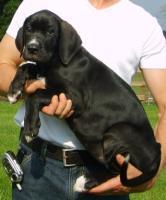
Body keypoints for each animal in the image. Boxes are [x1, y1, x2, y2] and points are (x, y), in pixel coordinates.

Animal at [7, 10, 161, 191]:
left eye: (50, 32)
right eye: (29, 29)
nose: (32, 47)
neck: (54, 62)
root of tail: (157, 157)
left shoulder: (77, 98)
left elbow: (35, 95)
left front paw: (30, 128)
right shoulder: (42, 72)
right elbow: (25, 66)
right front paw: (14, 90)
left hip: (118, 132)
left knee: (118, 172)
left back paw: (86, 182)